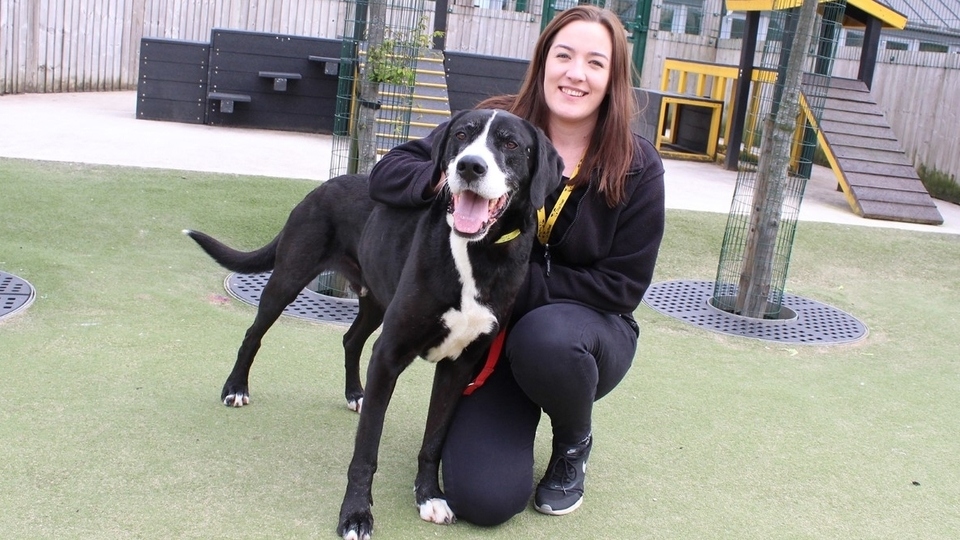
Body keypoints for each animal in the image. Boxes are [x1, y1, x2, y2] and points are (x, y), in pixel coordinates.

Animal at [186, 109, 564, 540]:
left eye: (511, 143)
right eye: (461, 135)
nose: (470, 165)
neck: (477, 253)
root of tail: (322, 187)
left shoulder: (459, 366)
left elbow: (434, 440)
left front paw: (429, 496)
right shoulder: (389, 355)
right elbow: (366, 450)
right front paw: (355, 515)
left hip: (375, 302)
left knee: (351, 339)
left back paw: (356, 394)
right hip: (289, 278)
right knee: (254, 333)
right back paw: (236, 388)